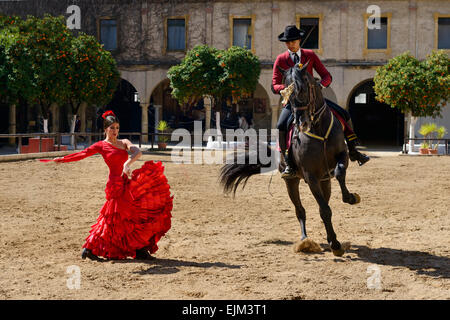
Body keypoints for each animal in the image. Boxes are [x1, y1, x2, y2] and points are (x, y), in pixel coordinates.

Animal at [220, 61, 360, 258]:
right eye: (287, 95)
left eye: (303, 89)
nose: (302, 122)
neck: (318, 128)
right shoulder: (310, 176)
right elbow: (324, 210)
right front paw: (335, 244)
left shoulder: (342, 156)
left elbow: (339, 174)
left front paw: (350, 197)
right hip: (292, 182)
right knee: (300, 210)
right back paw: (305, 241)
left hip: (325, 180)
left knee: (323, 201)